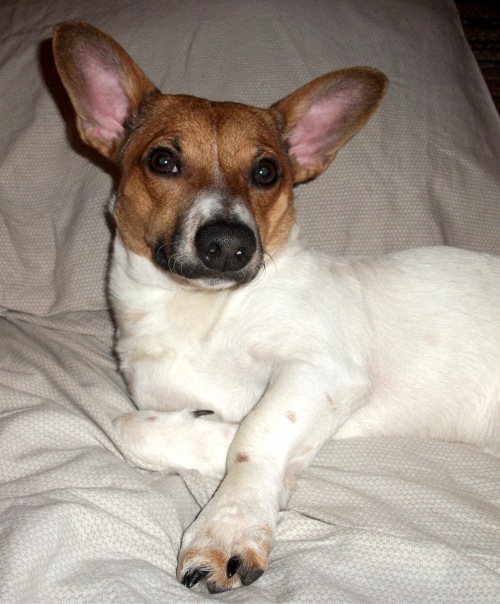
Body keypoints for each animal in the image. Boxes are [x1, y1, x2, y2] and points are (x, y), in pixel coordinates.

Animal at [53, 21, 500, 593]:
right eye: (162, 161)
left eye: (267, 171)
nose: (228, 242)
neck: (201, 312)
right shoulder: (154, 395)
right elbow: (130, 425)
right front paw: (214, 434)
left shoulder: (322, 370)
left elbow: (256, 430)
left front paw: (228, 523)